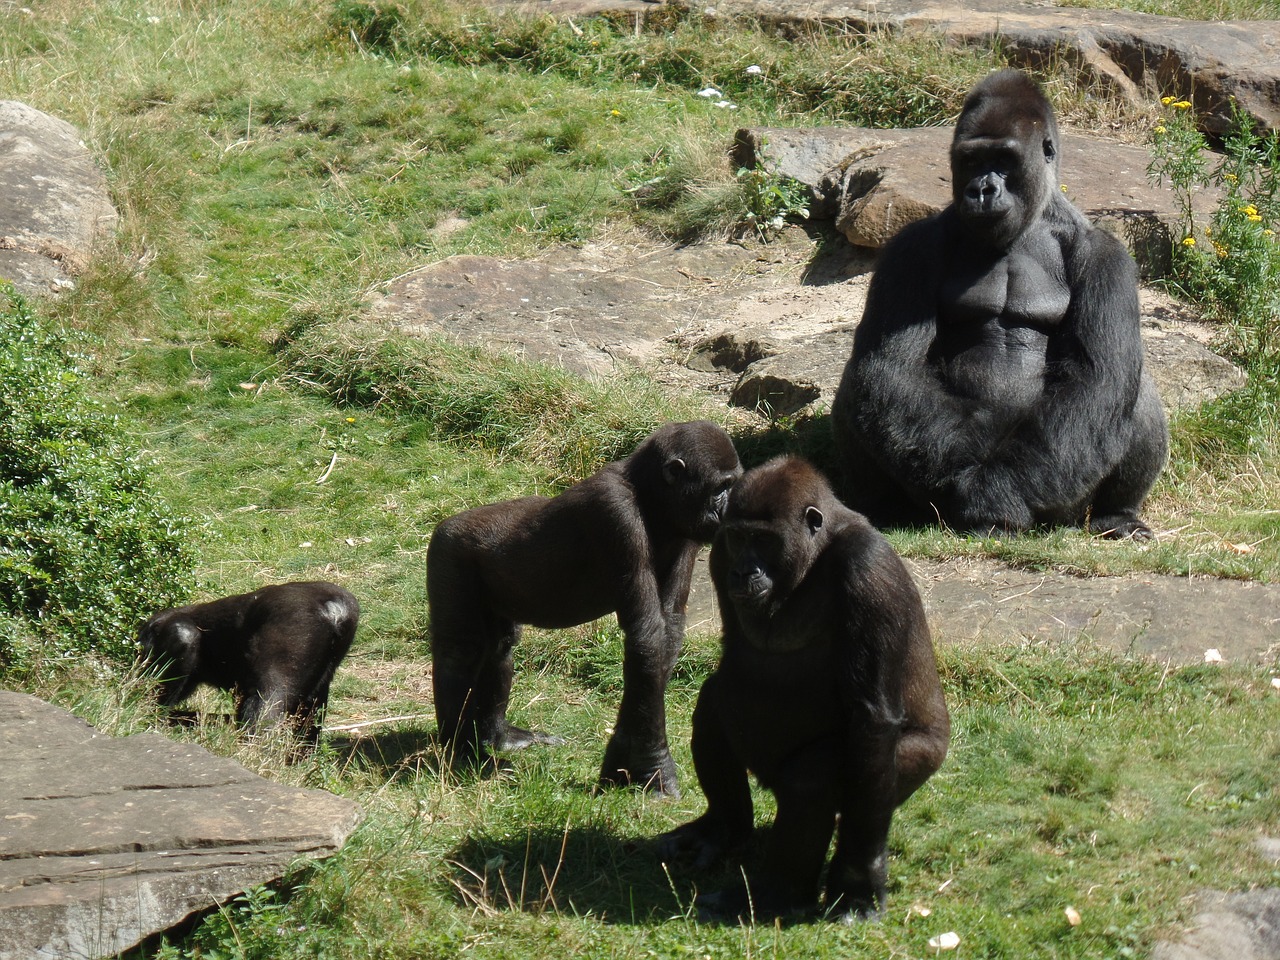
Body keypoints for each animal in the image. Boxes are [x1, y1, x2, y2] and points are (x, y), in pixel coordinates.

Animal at [430, 419, 747, 798]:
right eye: (720, 488)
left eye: (732, 486)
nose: (728, 511)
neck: (649, 496)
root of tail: (445, 524)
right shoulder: (615, 514)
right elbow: (647, 637)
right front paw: (655, 767)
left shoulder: (687, 532)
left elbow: (662, 640)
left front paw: (624, 757)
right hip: (449, 551)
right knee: (459, 653)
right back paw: (461, 753)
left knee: (499, 647)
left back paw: (499, 737)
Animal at [660, 458, 952, 926]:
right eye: (740, 538)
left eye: (764, 540)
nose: (743, 571)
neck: (814, 554)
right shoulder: (721, 551)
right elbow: (728, 678)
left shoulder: (868, 568)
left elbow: (871, 717)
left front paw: (859, 882)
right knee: (714, 710)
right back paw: (724, 829)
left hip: (919, 764)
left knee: (812, 779)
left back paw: (775, 895)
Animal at [829, 68, 1172, 542]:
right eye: (972, 161)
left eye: (1004, 160)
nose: (982, 189)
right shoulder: (910, 247)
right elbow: (890, 365)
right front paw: (981, 499)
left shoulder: (1106, 256)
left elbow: (1098, 377)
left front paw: (996, 498)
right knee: (865, 384)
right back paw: (884, 509)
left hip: (1065, 502)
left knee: (1129, 396)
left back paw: (1116, 514)